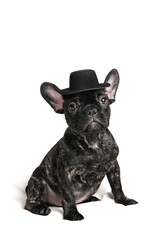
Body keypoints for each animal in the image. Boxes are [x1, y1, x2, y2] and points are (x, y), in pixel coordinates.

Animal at [24, 68, 138, 220]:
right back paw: (39, 208)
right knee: (30, 202)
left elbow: (117, 185)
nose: (91, 110)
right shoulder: (65, 172)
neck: (92, 140)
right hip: (37, 179)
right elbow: (68, 195)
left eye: (103, 100)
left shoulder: (114, 165)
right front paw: (72, 213)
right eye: (72, 106)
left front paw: (123, 200)